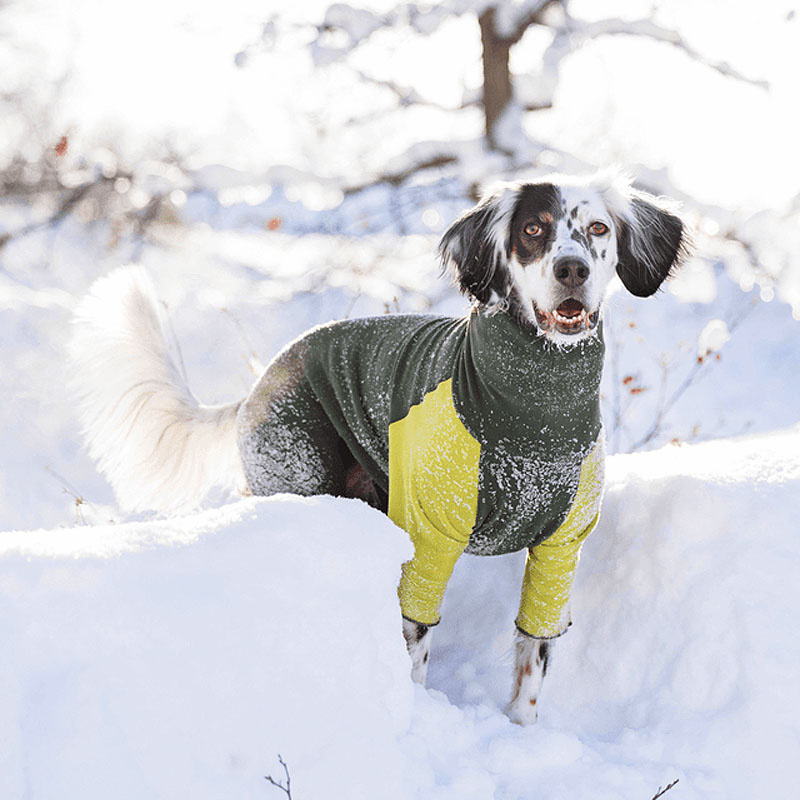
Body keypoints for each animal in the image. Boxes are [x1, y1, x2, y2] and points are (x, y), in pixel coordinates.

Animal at [70, 172, 688, 728]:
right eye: (533, 229)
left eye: (598, 228)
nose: (572, 269)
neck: (535, 409)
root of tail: (258, 384)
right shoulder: (429, 536)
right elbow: (415, 639)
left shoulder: (561, 548)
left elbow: (532, 654)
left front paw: (522, 732)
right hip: (299, 480)